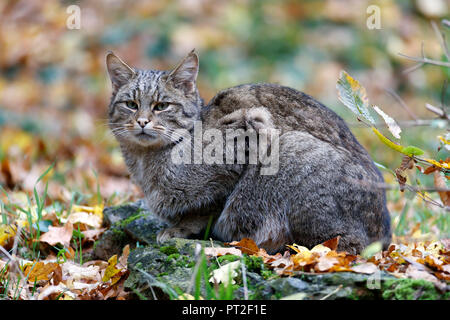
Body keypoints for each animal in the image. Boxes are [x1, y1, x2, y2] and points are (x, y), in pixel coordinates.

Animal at [105, 50, 390, 254]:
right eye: (131, 104)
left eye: (162, 106)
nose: (142, 121)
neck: (146, 162)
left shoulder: (250, 130)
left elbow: (210, 207)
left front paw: (181, 228)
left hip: (290, 152)